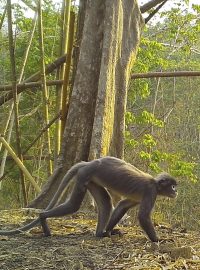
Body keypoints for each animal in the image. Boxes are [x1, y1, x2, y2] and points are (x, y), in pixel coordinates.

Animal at [0, 156, 177, 243]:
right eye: (173, 186)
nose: (176, 192)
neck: (155, 184)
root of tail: (88, 163)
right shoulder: (150, 192)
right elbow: (143, 216)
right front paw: (159, 240)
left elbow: (122, 205)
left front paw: (109, 231)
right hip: (84, 175)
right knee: (74, 205)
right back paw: (42, 217)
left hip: (91, 179)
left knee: (105, 201)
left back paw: (100, 234)